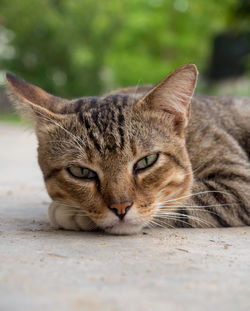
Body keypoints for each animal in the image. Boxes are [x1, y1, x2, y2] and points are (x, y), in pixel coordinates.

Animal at [5, 65, 250, 236]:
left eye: (147, 161)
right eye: (81, 172)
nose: (120, 207)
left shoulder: (239, 183)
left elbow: (181, 201)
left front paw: (71, 213)